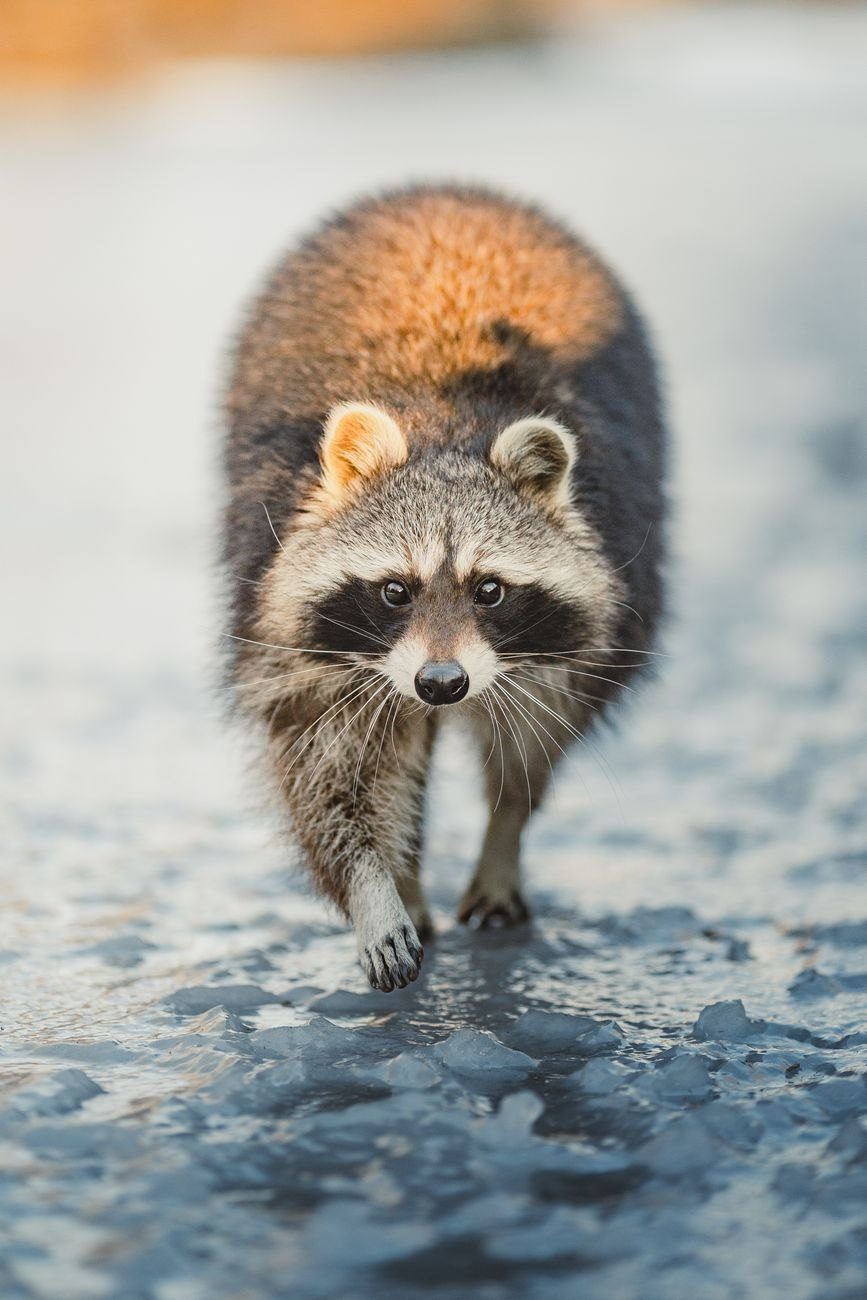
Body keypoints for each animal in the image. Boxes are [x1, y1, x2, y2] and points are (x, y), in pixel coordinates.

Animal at [224, 184, 666, 992]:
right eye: (395, 591)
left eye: (488, 590)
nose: (440, 684)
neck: (446, 425)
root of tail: (449, 189)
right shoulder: (290, 617)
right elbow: (329, 767)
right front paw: (373, 885)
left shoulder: (587, 612)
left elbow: (535, 737)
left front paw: (504, 829)